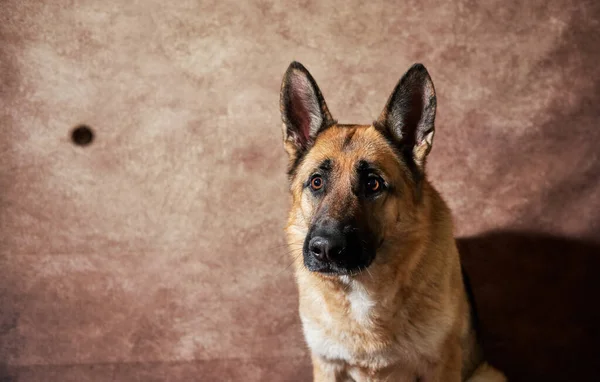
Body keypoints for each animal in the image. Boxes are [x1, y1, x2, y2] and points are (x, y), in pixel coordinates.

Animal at [278, 61, 504, 380]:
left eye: (373, 184)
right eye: (317, 182)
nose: (325, 249)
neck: (361, 290)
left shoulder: (442, 364)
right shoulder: (327, 366)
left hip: (487, 373)